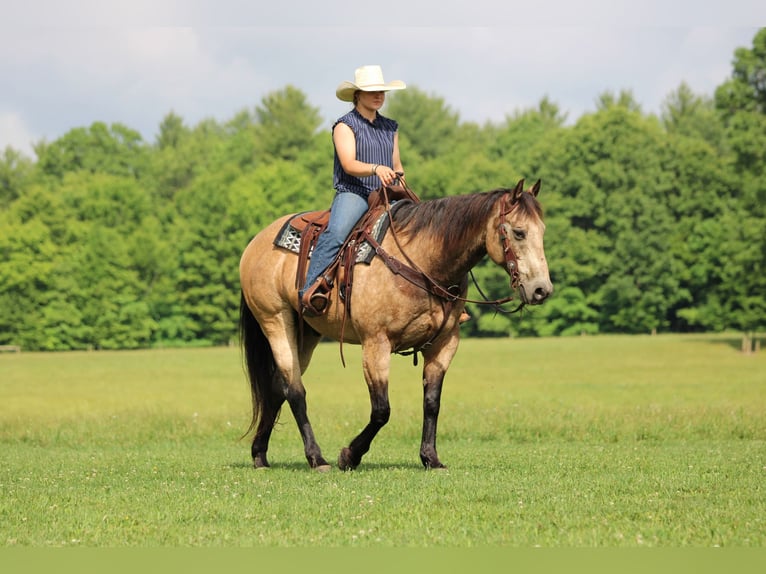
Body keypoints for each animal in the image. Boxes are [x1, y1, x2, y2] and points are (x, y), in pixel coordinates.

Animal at [238, 179, 552, 471]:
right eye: (519, 232)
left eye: (542, 231)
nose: (542, 290)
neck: (424, 263)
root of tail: (256, 243)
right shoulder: (375, 343)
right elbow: (381, 410)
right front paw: (349, 455)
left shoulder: (444, 344)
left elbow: (432, 402)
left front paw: (430, 458)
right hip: (276, 321)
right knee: (295, 390)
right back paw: (317, 458)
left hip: (308, 333)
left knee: (278, 387)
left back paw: (259, 454)